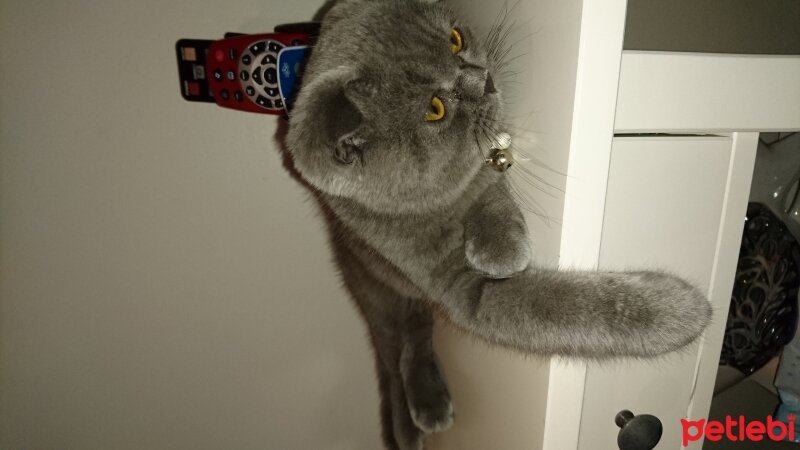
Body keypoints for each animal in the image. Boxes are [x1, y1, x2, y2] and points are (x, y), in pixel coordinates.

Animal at [278, 0, 708, 446]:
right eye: (434, 108)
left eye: (456, 39)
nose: (481, 79)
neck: (438, 206)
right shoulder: (449, 280)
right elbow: (556, 307)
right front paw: (679, 310)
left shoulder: (479, 187)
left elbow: (489, 188)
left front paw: (499, 246)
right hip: (372, 282)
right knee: (394, 344)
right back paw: (408, 427)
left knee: (415, 331)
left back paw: (430, 406)